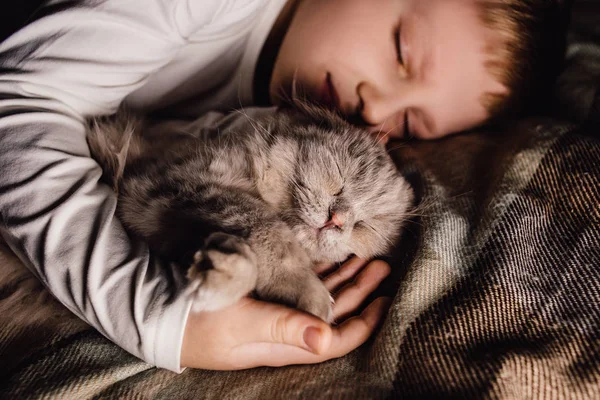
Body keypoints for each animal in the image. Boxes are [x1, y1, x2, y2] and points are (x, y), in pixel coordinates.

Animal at [86, 105, 414, 322]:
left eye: (365, 226)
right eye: (339, 180)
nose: (338, 220)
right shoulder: (170, 182)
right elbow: (269, 230)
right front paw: (298, 287)